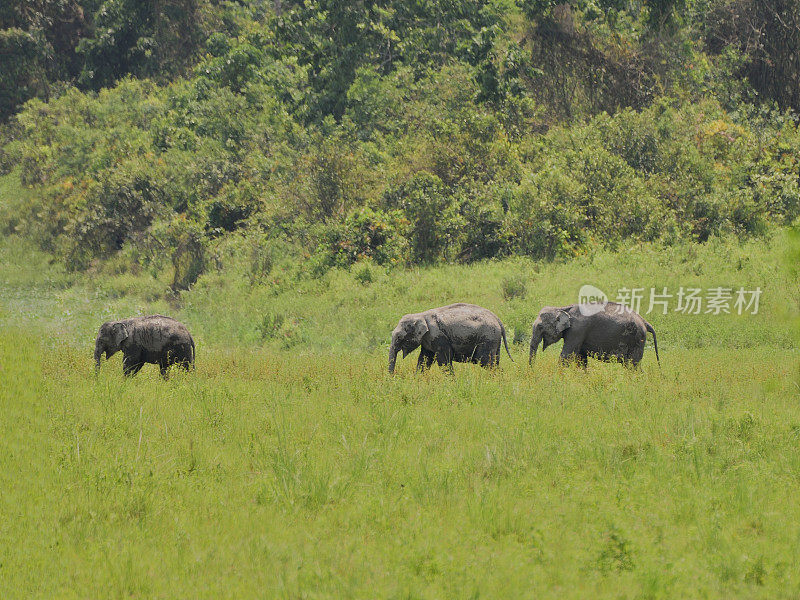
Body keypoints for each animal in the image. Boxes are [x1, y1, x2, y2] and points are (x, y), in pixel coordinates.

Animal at [528, 302, 660, 368]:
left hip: (637, 340)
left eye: (540, 327)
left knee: (633, 365)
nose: (532, 372)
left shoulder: (577, 330)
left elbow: (566, 356)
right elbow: (581, 359)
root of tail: (644, 321)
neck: (563, 308)